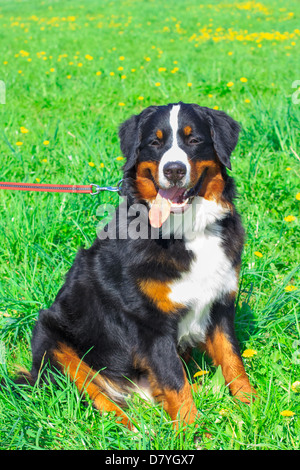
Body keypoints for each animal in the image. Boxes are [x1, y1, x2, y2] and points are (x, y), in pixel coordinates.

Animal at [13, 103, 255, 434]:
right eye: (155, 142)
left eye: (194, 140)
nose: (174, 170)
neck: (186, 232)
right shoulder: (150, 323)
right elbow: (174, 382)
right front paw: (191, 433)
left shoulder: (219, 304)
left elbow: (232, 360)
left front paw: (252, 406)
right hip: (52, 340)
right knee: (101, 400)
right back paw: (132, 429)